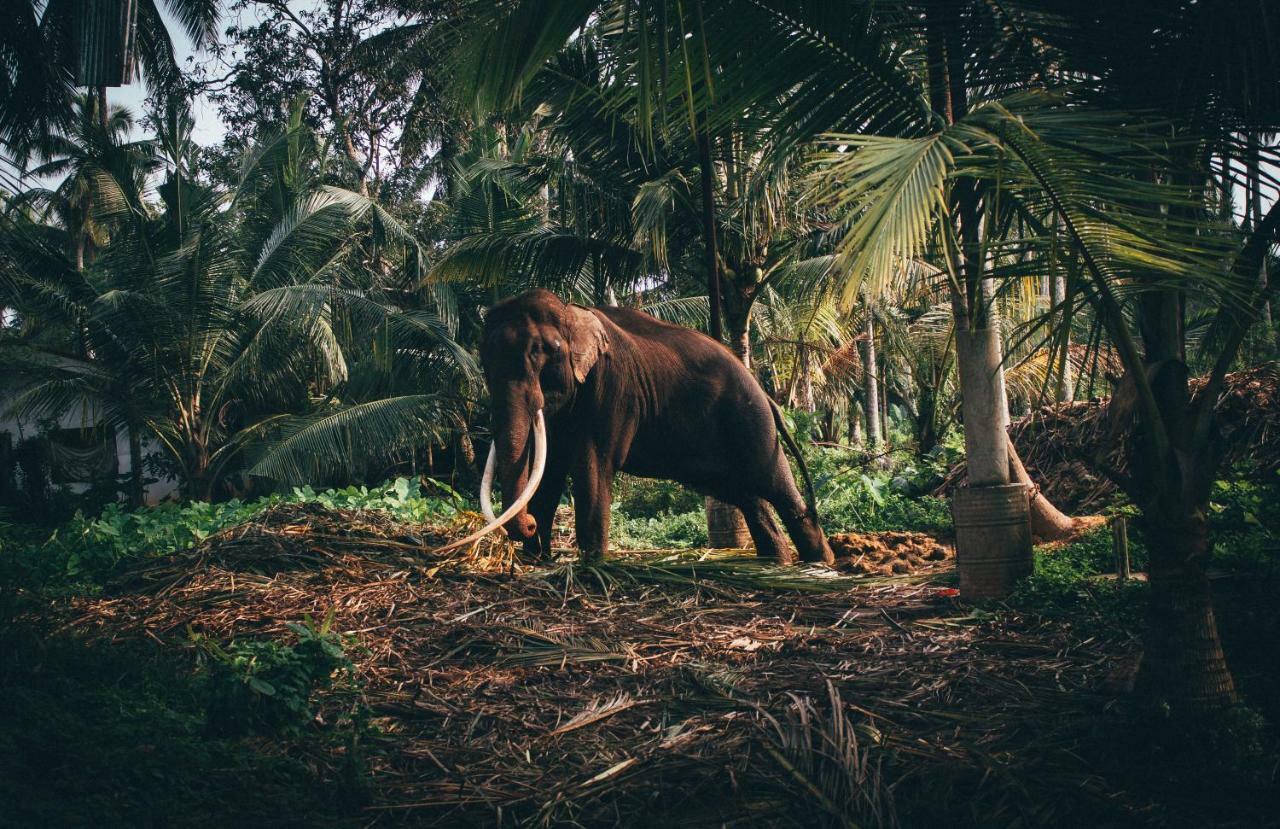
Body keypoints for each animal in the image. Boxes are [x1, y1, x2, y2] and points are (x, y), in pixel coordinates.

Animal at [465, 287, 834, 565]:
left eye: (544, 351)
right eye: (483, 358)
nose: (528, 526)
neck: (572, 311)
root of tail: (764, 391)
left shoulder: (613, 386)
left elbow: (593, 465)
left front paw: (593, 564)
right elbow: (550, 470)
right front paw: (535, 562)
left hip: (751, 423)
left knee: (773, 483)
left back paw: (819, 561)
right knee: (742, 494)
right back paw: (777, 561)